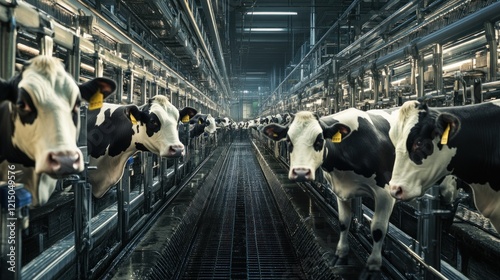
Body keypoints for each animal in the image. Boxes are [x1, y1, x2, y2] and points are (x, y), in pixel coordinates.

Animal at [262, 109, 398, 274]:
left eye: (319, 140)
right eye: (288, 140)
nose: (301, 172)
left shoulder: (385, 193)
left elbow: (378, 229)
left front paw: (373, 266)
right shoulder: (341, 190)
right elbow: (343, 221)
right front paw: (340, 255)